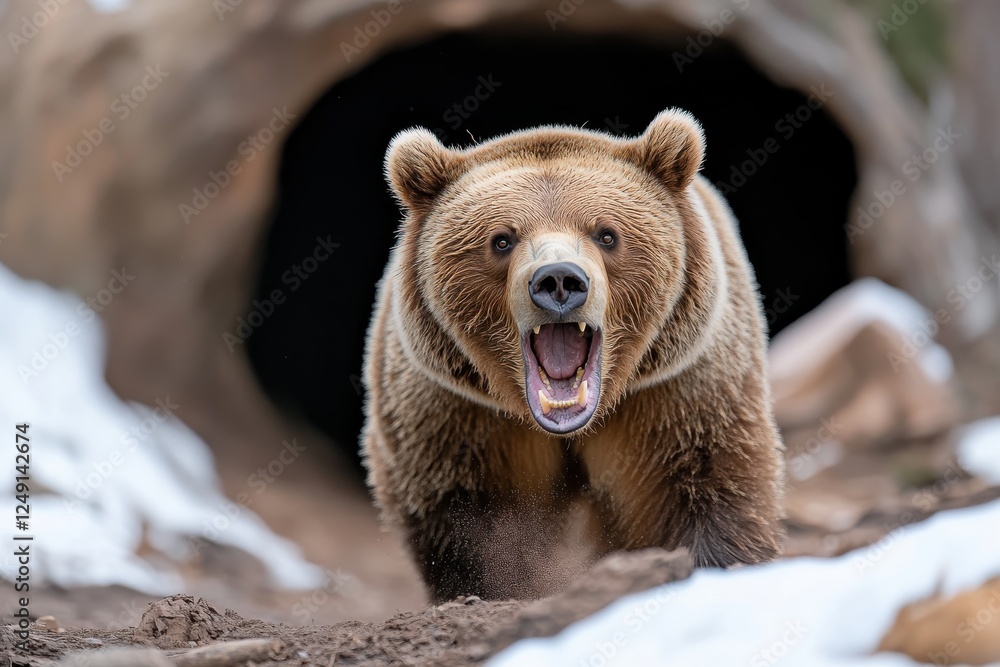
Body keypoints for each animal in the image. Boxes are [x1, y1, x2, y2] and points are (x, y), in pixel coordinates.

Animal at [361, 109, 785, 602]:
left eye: (607, 234)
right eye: (501, 239)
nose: (559, 279)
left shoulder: (680, 387)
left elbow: (711, 476)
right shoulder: (454, 409)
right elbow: (469, 521)